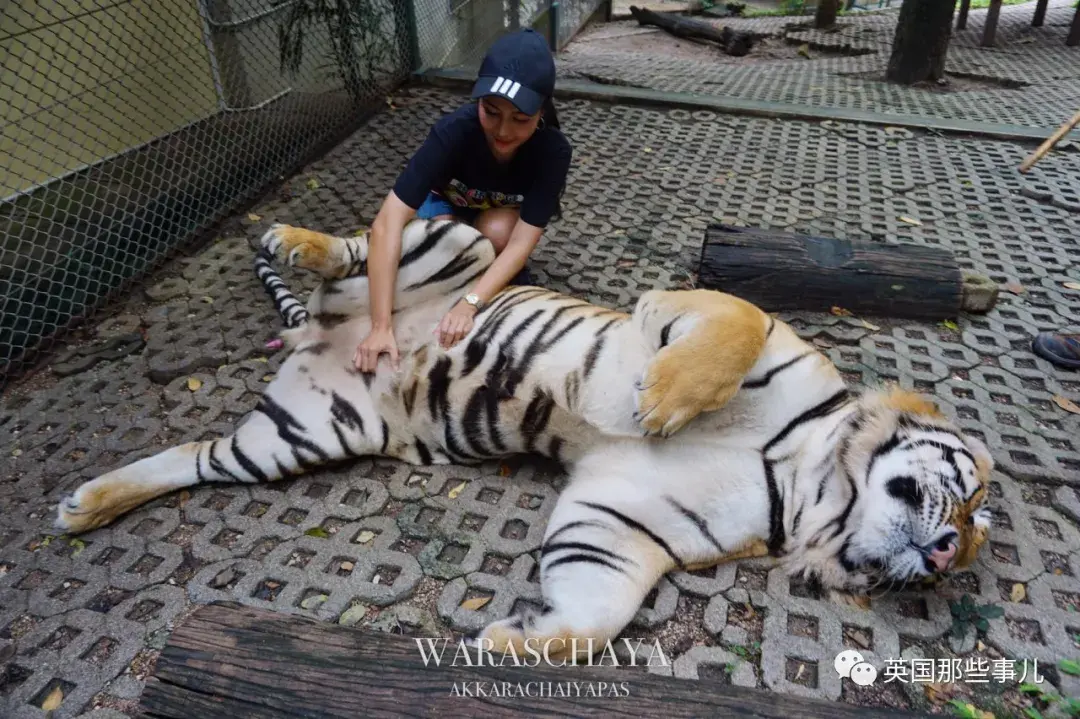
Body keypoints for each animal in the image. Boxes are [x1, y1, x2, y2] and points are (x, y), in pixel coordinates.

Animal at [52, 215, 993, 656]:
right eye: (975, 495)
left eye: (972, 538)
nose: (949, 554)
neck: (806, 482)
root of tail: (325, 334)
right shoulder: (727, 321)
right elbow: (731, 327)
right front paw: (660, 402)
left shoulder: (622, 518)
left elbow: (599, 610)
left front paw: (513, 639)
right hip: (455, 243)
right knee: (364, 246)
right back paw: (292, 239)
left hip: (298, 435)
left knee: (191, 456)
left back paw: (85, 505)